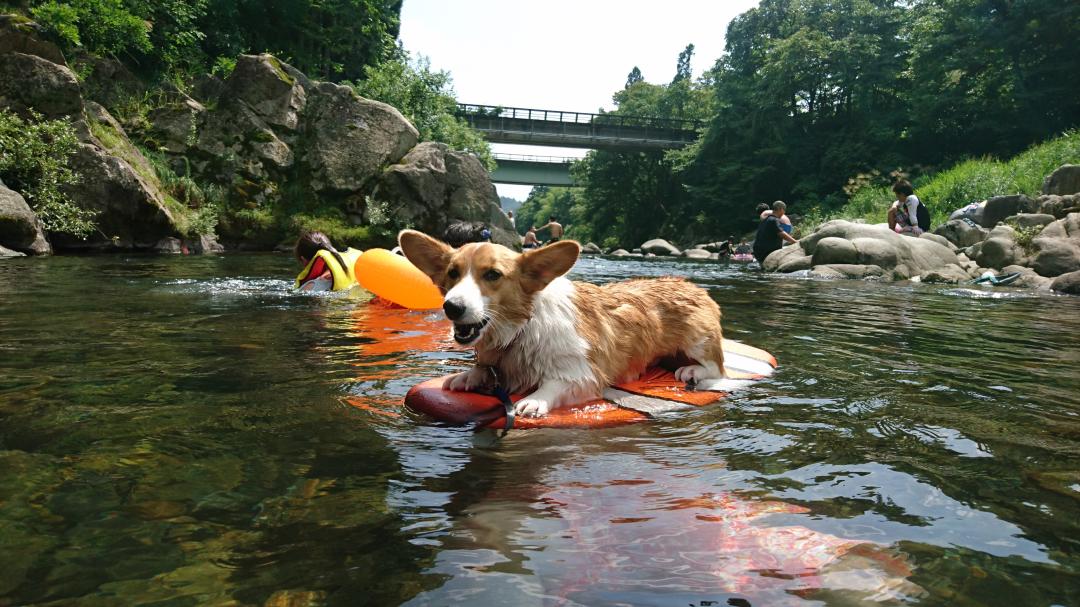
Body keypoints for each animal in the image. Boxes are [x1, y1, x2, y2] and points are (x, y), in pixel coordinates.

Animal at [399, 227, 725, 414]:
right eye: (453, 273)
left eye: (492, 274)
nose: (451, 307)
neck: (521, 329)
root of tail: (694, 286)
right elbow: (483, 369)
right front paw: (468, 376)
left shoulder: (584, 374)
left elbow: (555, 384)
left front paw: (535, 400)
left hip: (698, 341)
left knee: (717, 369)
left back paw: (691, 370)